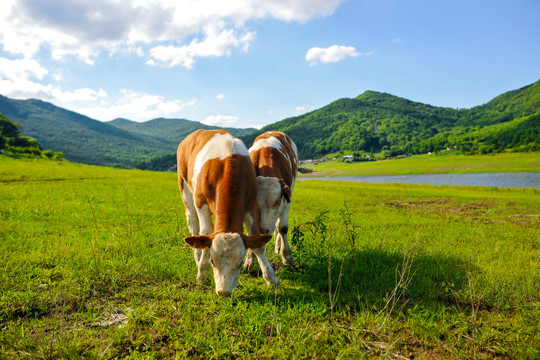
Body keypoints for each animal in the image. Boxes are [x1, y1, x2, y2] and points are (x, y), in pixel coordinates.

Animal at [177, 129, 278, 296]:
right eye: (212, 261)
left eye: (241, 262)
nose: (224, 292)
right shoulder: (201, 203)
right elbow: (205, 233)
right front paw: (201, 274)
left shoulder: (252, 204)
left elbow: (257, 243)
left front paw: (271, 278)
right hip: (185, 189)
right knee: (193, 225)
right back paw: (197, 257)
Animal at [247, 131, 306, 266]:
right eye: (255, 204)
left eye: (277, 202)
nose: (263, 229)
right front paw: (250, 259)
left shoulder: (285, 200)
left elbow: (282, 227)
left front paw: (287, 256)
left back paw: (279, 246)